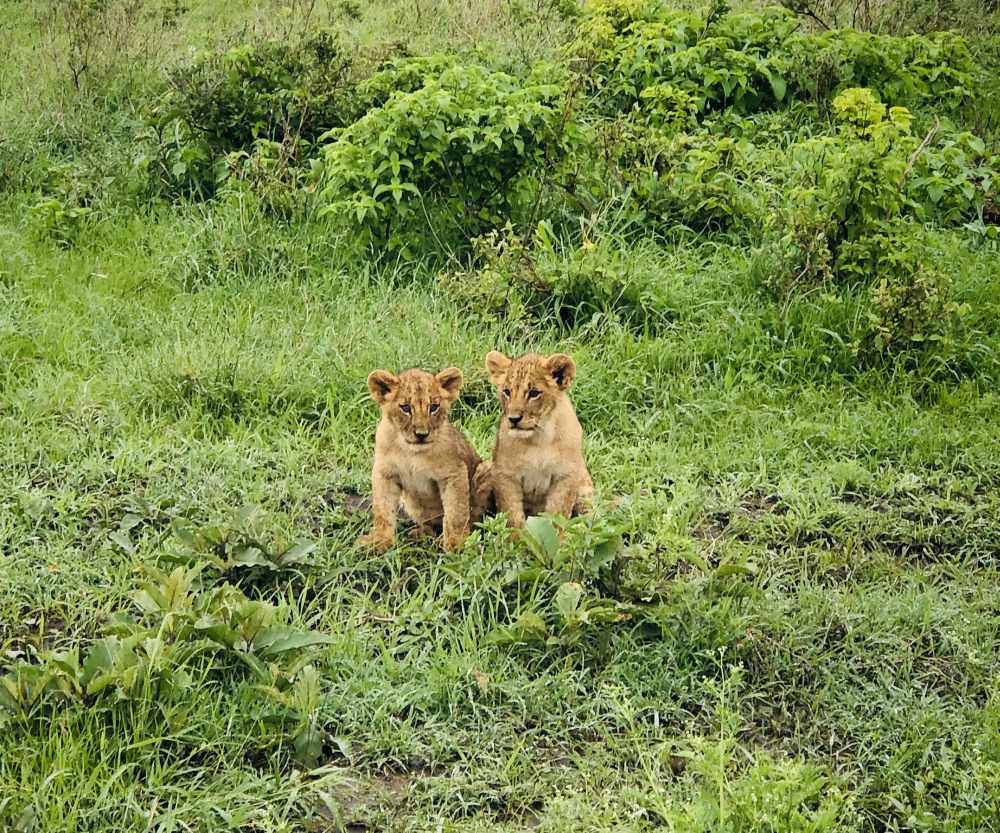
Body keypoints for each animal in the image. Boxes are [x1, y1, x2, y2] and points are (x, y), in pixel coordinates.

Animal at [357, 367, 486, 552]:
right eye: (405, 407)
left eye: (434, 407)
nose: (421, 434)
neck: (411, 452)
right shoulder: (384, 473)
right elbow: (383, 510)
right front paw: (380, 541)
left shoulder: (454, 472)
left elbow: (456, 512)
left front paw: (456, 544)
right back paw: (421, 534)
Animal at [483, 351, 594, 528]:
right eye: (507, 391)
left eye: (534, 393)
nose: (513, 419)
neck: (539, 438)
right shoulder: (505, 475)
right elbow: (512, 515)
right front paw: (518, 535)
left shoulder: (565, 476)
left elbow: (557, 515)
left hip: (584, 486)